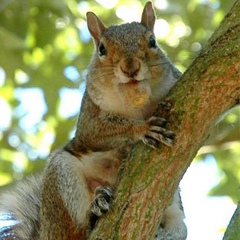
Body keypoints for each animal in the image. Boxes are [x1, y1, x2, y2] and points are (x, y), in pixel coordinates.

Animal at [0, 2, 188, 240]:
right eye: (101, 49)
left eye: (153, 41)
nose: (130, 68)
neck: (132, 100)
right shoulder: (89, 111)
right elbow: (93, 133)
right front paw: (142, 128)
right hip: (61, 176)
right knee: (72, 231)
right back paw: (92, 215)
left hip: (176, 219)